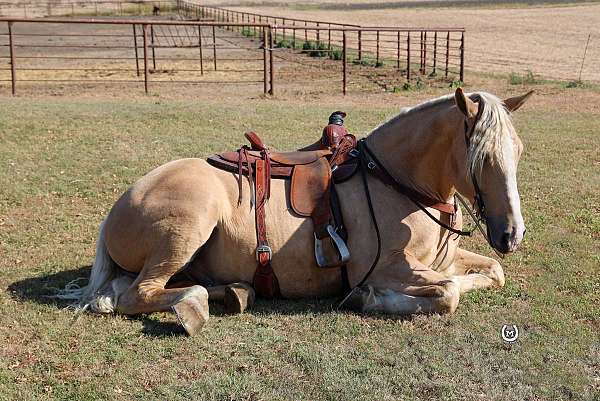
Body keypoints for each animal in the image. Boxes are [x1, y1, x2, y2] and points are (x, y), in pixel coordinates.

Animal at [59, 88, 528, 334]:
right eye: (482, 156)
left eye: (519, 151)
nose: (512, 233)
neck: (397, 181)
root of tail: (121, 205)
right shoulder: (387, 267)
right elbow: (448, 293)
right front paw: (371, 298)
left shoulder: (445, 259)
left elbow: (492, 273)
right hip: (186, 229)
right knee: (137, 294)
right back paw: (194, 306)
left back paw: (235, 292)